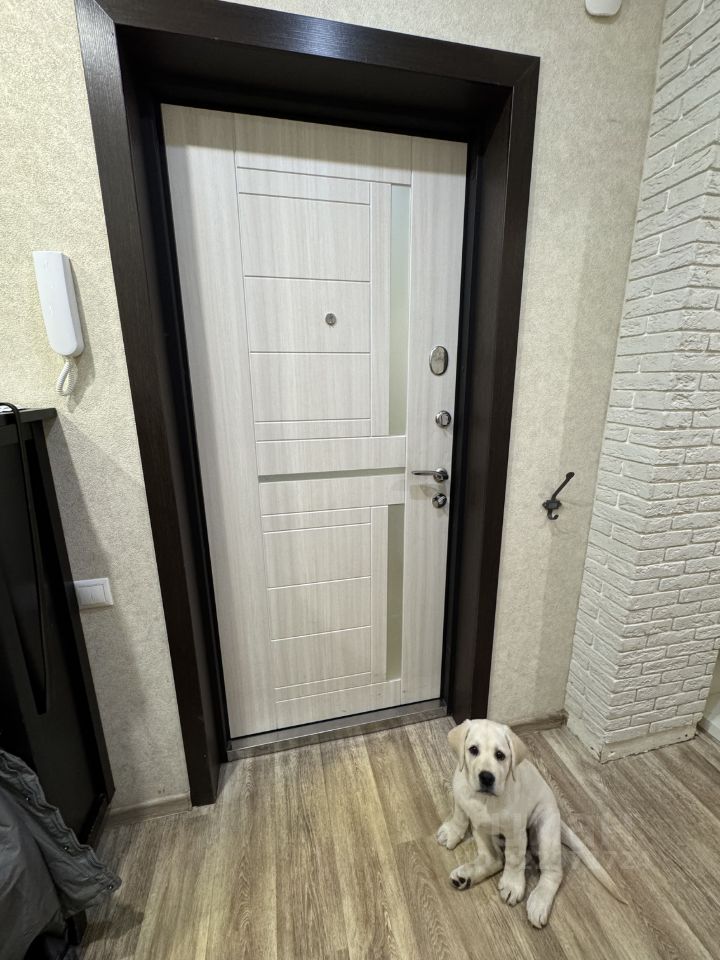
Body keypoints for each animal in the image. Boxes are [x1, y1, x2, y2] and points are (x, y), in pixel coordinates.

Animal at [436, 719, 626, 927]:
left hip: (546, 833)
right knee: (494, 859)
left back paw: (539, 902)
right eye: (473, 750)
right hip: (483, 830)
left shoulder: (516, 833)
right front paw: (452, 832)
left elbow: (514, 859)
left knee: (553, 872)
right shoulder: (462, 800)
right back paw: (465, 877)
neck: (484, 800)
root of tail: (558, 816)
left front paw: (512, 884)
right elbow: (460, 815)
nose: (486, 777)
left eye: (500, 755)